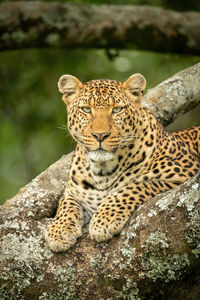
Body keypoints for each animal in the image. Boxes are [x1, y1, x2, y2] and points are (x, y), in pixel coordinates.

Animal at [45, 74, 200, 252]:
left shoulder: (185, 172)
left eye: (117, 110)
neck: (102, 171)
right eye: (86, 109)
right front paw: (59, 230)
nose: (100, 135)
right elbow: (66, 205)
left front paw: (104, 220)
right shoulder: (74, 191)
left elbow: (133, 187)